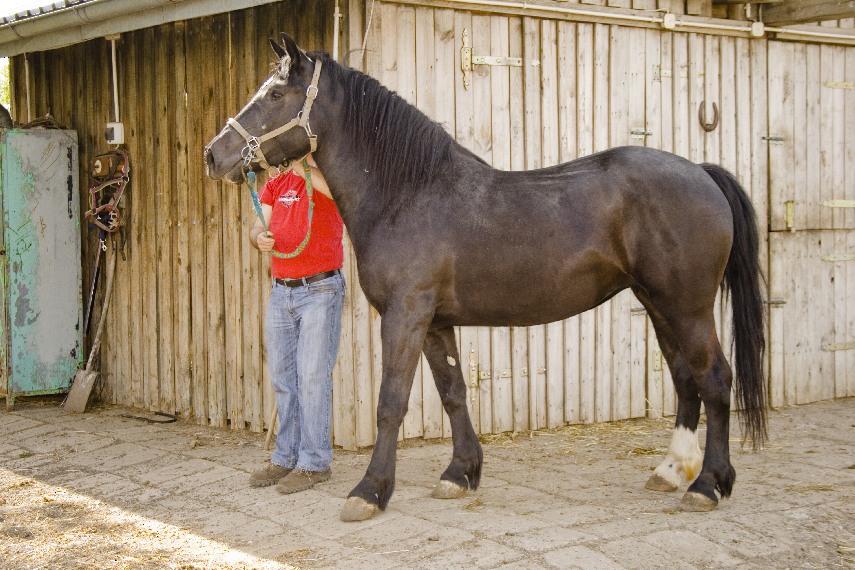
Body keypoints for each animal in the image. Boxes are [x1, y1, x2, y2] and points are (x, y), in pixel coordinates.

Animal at [205, 33, 766, 522]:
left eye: (275, 94)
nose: (215, 155)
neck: (407, 192)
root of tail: (701, 171)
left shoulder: (406, 316)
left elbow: (391, 403)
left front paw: (370, 491)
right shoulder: (434, 322)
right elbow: (454, 392)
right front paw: (460, 474)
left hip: (687, 307)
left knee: (715, 379)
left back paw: (707, 485)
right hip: (657, 303)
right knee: (685, 380)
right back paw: (671, 472)